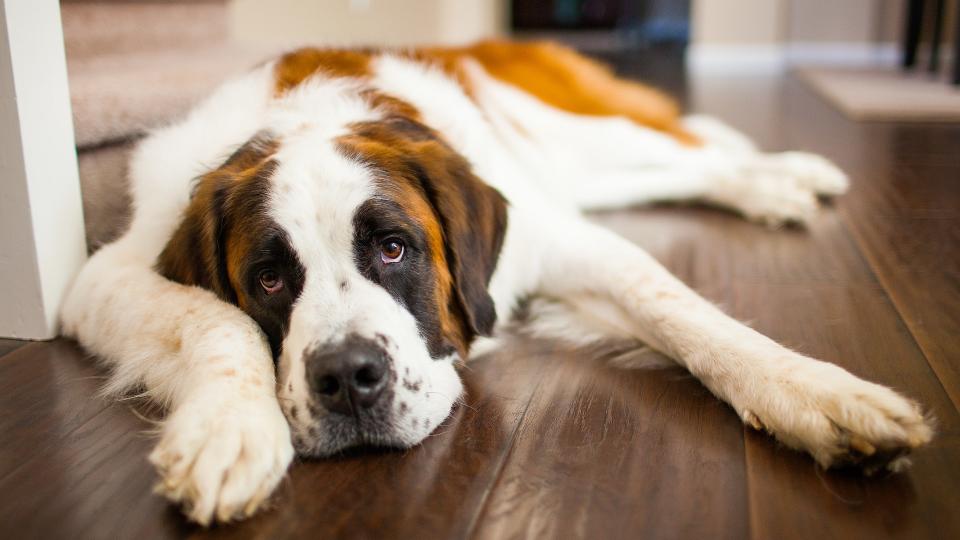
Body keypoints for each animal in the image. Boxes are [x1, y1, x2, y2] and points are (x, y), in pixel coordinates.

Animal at [60, 41, 928, 524]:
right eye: (270, 279)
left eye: (394, 250)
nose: (346, 378)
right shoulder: (105, 276)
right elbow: (216, 321)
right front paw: (229, 429)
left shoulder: (558, 240)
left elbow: (679, 308)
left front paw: (813, 391)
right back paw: (775, 186)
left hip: (581, 140)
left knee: (694, 147)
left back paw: (789, 174)